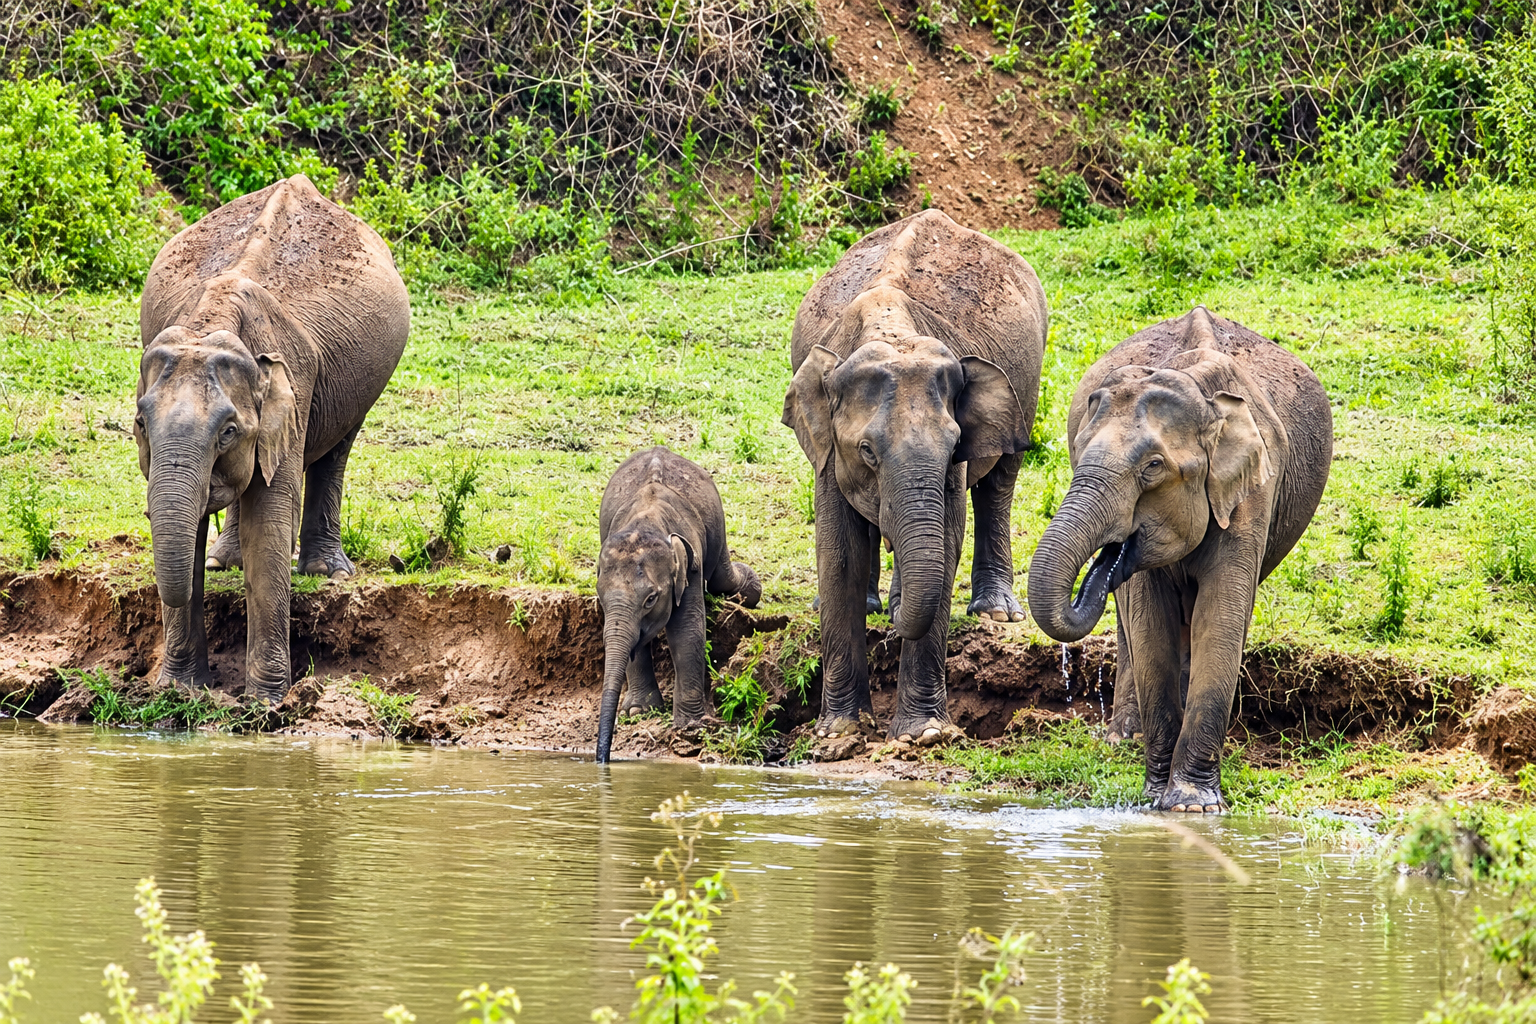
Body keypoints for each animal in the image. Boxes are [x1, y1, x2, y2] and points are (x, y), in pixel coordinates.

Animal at [135, 173, 409, 701]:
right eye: (141, 425)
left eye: (228, 432)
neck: (213, 320)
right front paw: (180, 692)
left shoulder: (294, 391)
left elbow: (270, 519)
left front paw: (265, 703)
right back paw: (223, 562)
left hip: (360, 384)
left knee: (337, 450)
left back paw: (326, 572)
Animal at [595, 446, 762, 763]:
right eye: (599, 596)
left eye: (651, 599)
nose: (603, 759)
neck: (647, 520)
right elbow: (634, 640)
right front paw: (639, 711)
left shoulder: (690, 563)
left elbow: (687, 631)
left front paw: (690, 726)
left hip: (718, 524)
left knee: (722, 577)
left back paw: (752, 585)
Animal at [781, 209, 1047, 745]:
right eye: (866, 451)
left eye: (952, 446)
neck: (892, 329)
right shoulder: (827, 443)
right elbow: (837, 547)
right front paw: (840, 733)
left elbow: (947, 536)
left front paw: (923, 734)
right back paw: (875, 605)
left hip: (1027, 389)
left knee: (1000, 483)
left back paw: (992, 612)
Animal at [1027, 306, 1332, 812]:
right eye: (1078, 452)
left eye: (1152, 468)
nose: (1105, 559)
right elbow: (1150, 623)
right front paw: (1157, 798)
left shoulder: (1253, 492)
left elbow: (1221, 616)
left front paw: (1192, 804)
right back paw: (1124, 738)